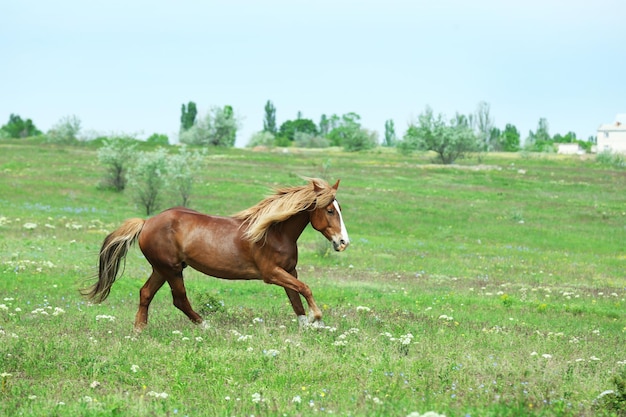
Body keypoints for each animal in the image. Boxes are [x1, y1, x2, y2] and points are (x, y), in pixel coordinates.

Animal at [80, 177, 348, 330]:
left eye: (339, 208)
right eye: (329, 210)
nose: (343, 242)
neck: (273, 231)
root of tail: (146, 222)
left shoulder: (289, 269)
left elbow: (295, 298)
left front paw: (310, 325)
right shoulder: (271, 273)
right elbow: (305, 289)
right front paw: (317, 318)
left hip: (161, 268)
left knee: (146, 293)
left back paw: (139, 331)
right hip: (171, 269)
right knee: (179, 299)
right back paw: (206, 325)